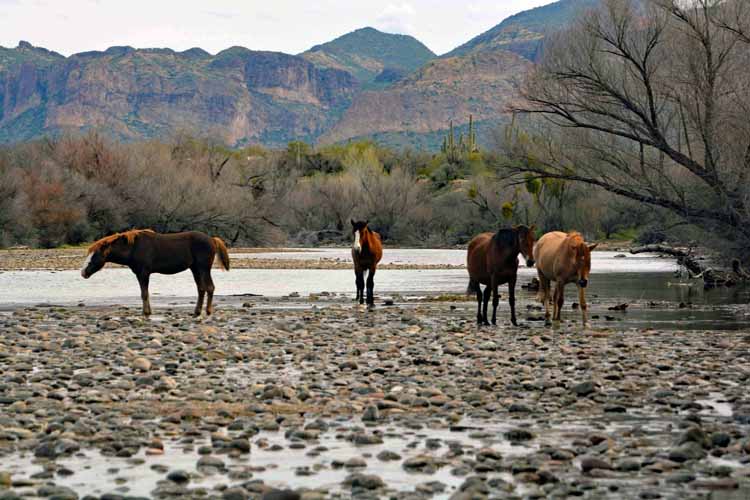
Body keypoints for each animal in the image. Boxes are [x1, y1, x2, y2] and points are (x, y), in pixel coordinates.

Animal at [81, 229, 231, 314]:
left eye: (94, 256)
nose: (83, 272)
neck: (133, 248)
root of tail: (212, 239)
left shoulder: (143, 273)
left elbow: (144, 294)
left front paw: (146, 312)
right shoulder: (140, 273)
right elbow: (144, 293)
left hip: (203, 268)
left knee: (209, 287)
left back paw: (208, 311)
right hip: (195, 269)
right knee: (201, 289)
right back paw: (197, 311)